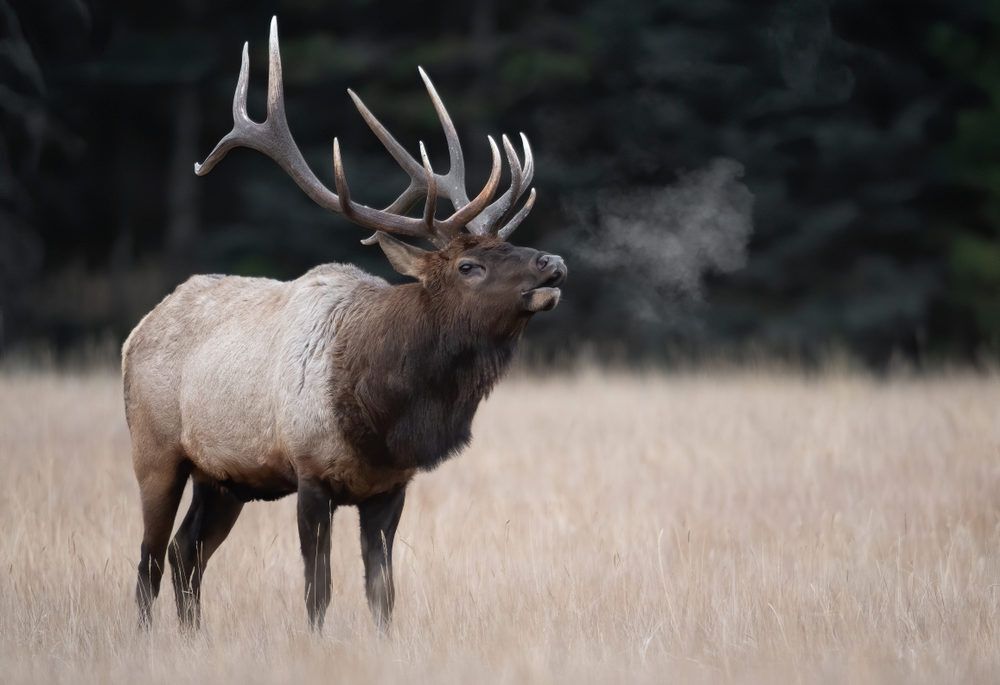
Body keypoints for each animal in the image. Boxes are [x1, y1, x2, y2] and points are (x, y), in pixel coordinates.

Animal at [122, 17, 566, 633]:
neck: (382, 413)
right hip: (156, 449)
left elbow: (382, 591)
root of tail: (138, 330)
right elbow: (319, 590)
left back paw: (193, 638)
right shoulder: (310, 473)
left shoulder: (390, 487)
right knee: (149, 559)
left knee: (186, 551)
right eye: (468, 265)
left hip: (225, 477)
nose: (553, 262)